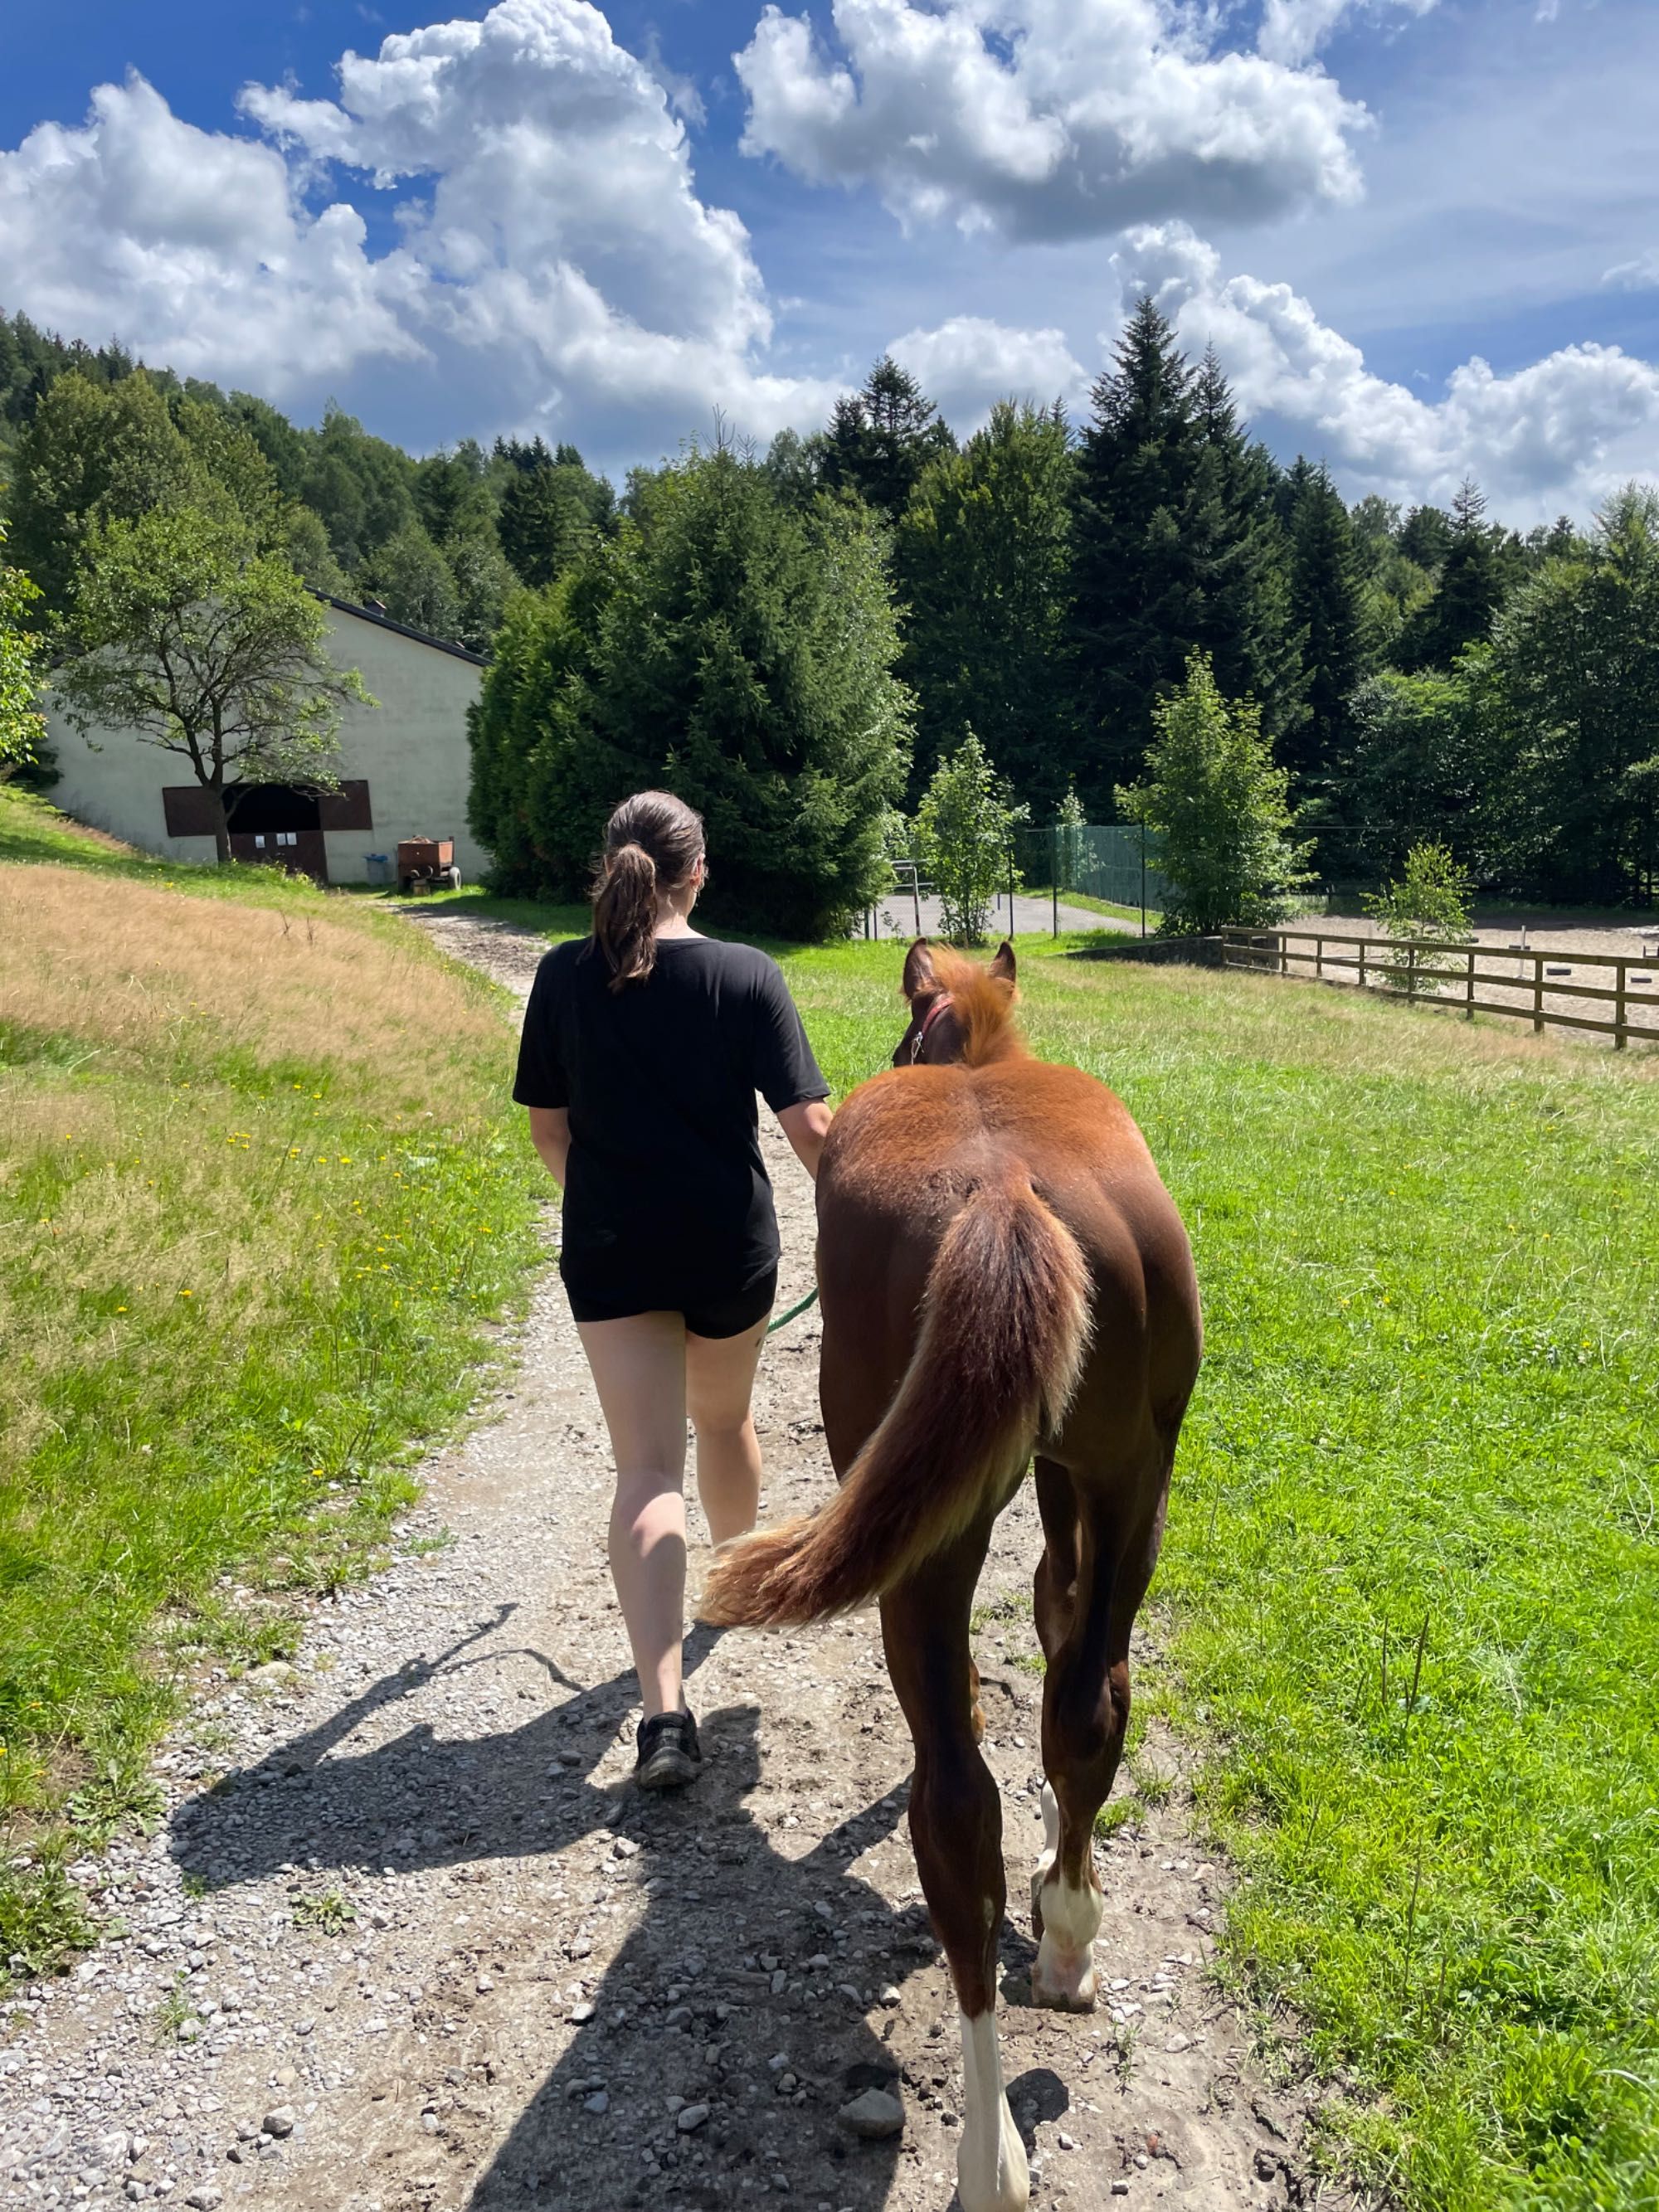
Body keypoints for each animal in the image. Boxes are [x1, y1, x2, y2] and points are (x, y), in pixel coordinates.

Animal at [703, 937, 1212, 2212]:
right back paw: (1068, 1943)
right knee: (1089, 1706)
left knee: (952, 1809)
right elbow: (1063, 1634)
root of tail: (1002, 1192)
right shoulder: (1083, 1474)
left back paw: (990, 2157)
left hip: (929, 1543)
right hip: (1134, 1476)